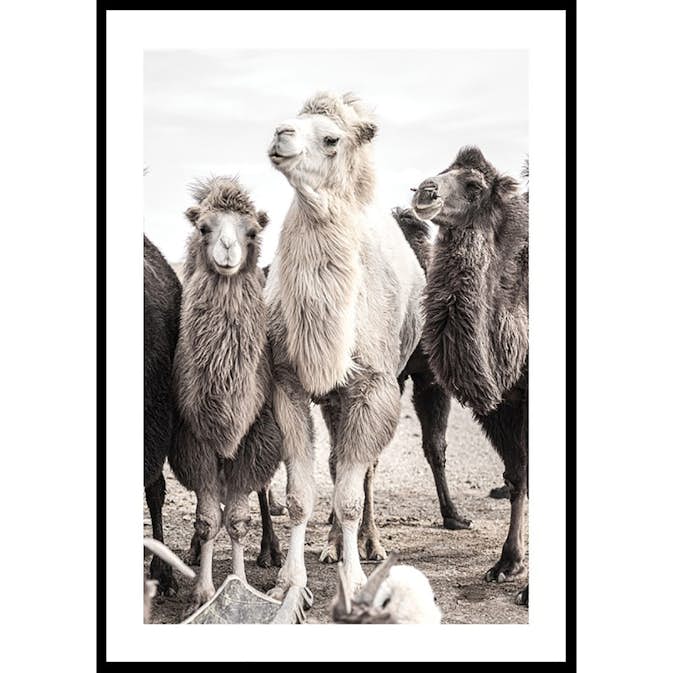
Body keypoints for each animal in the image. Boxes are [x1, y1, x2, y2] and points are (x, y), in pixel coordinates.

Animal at [265, 91, 427, 598]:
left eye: (331, 139)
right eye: (293, 121)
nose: (280, 133)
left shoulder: (374, 387)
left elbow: (353, 495)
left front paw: (355, 583)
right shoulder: (288, 383)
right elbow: (300, 495)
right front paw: (289, 582)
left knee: (364, 470)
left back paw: (368, 544)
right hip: (335, 399)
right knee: (337, 462)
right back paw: (333, 545)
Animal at [411, 146, 529, 606]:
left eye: (475, 186)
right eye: (445, 171)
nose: (425, 191)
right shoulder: (502, 405)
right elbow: (516, 476)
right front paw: (506, 564)